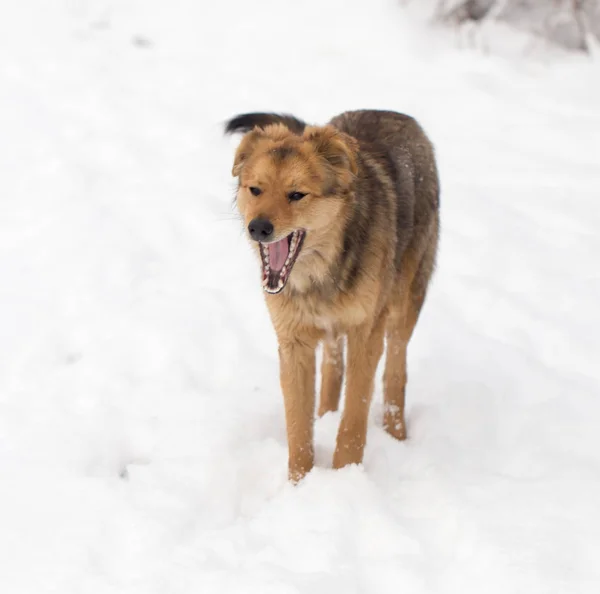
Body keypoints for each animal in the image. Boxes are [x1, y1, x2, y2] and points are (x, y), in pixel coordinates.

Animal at [225, 110, 440, 480]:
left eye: (297, 194)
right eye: (255, 189)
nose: (259, 228)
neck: (320, 276)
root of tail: (396, 115)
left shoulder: (366, 334)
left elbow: (353, 420)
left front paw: (346, 475)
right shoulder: (293, 342)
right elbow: (298, 428)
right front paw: (300, 484)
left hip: (405, 302)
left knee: (395, 370)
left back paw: (396, 433)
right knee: (332, 366)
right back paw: (325, 414)